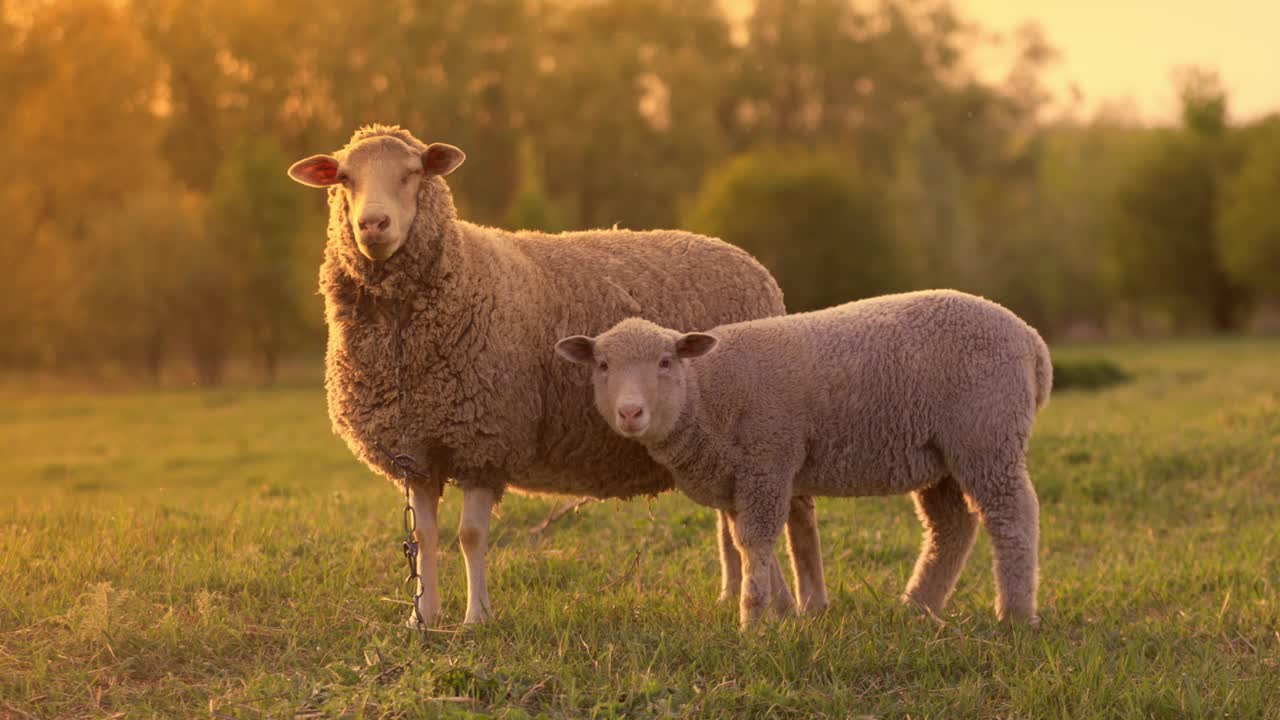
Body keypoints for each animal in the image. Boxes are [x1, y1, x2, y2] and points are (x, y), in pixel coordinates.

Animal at [288, 126, 829, 625]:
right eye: (344, 178)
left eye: (412, 172)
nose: (372, 224)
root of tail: (748, 262)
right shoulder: (418, 453)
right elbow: (424, 536)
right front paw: (424, 617)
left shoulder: (487, 439)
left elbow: (470, 536)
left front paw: (476, 618)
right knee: (728, 518)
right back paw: (729, 594)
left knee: (798, 514)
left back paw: (809, 603)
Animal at [558, 288, 1049, 625]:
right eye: (602, 365)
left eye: (665, 362)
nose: (630, 412)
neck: (705, 393)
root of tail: (1030, 338)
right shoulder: (741, 477)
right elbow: (751, 541)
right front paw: (783, 611)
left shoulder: (768, 458)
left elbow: (754, 542)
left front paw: (753, 618)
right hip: (941, 456)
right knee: (951, 528)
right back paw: (918, 606)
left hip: (987, 436)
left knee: (1012, 518)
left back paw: (1015, 615)